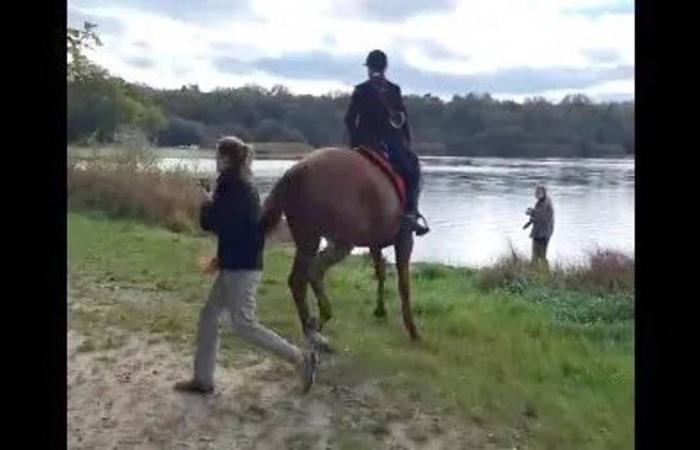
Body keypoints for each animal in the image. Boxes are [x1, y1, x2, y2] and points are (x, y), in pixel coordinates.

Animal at [260, 147, 418, 344]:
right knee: (311, 272)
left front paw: (380, 310)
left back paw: (313, 326)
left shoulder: (374, 243)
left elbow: (380, 272)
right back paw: (318, 323)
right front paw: (412, 330)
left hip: (307, 236)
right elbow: (404, 284)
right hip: (337, 241)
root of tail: (295, 171)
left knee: (300, 277)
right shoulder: (404, 238)